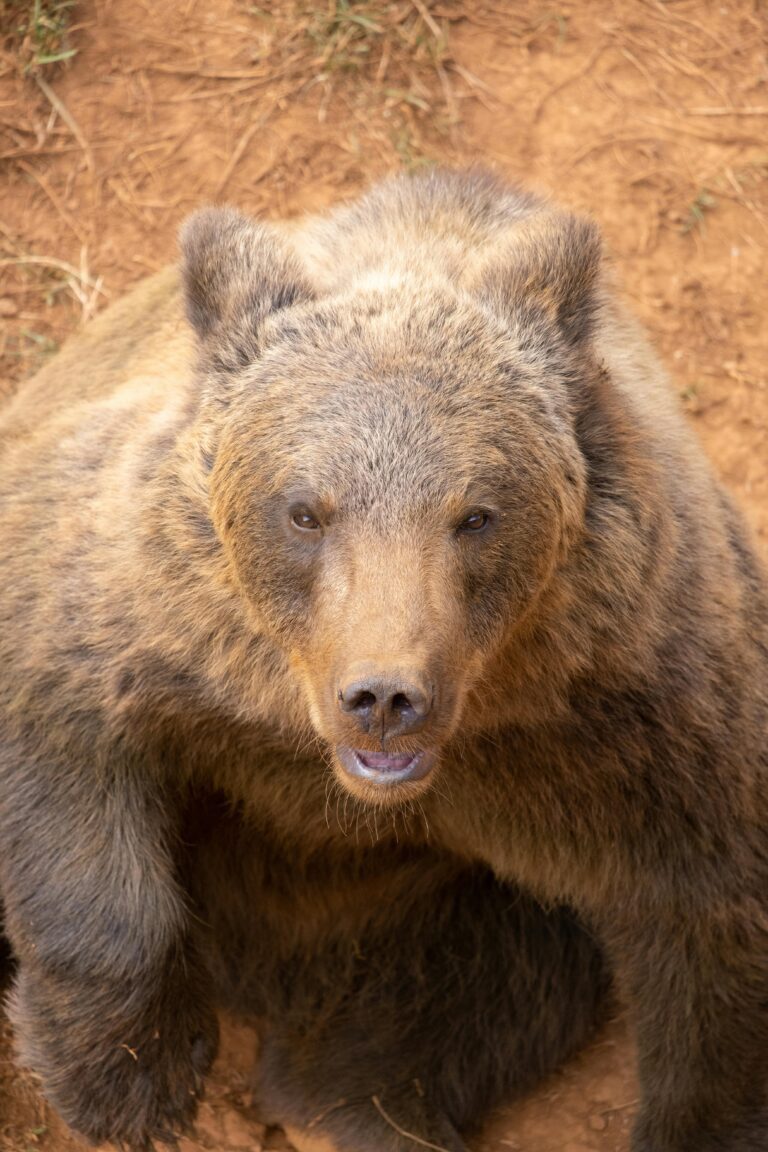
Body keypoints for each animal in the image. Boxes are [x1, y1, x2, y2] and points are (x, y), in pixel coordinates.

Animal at [0, 167, 765, 1152]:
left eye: (475, 514)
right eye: (305, 510)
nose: (384, 696)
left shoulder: (640, 716)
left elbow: (711, 929)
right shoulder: (137, 607)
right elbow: (67, 742)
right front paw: (127, 1079)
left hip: (453, 907)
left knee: (446, 1001)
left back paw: (353, 1107)